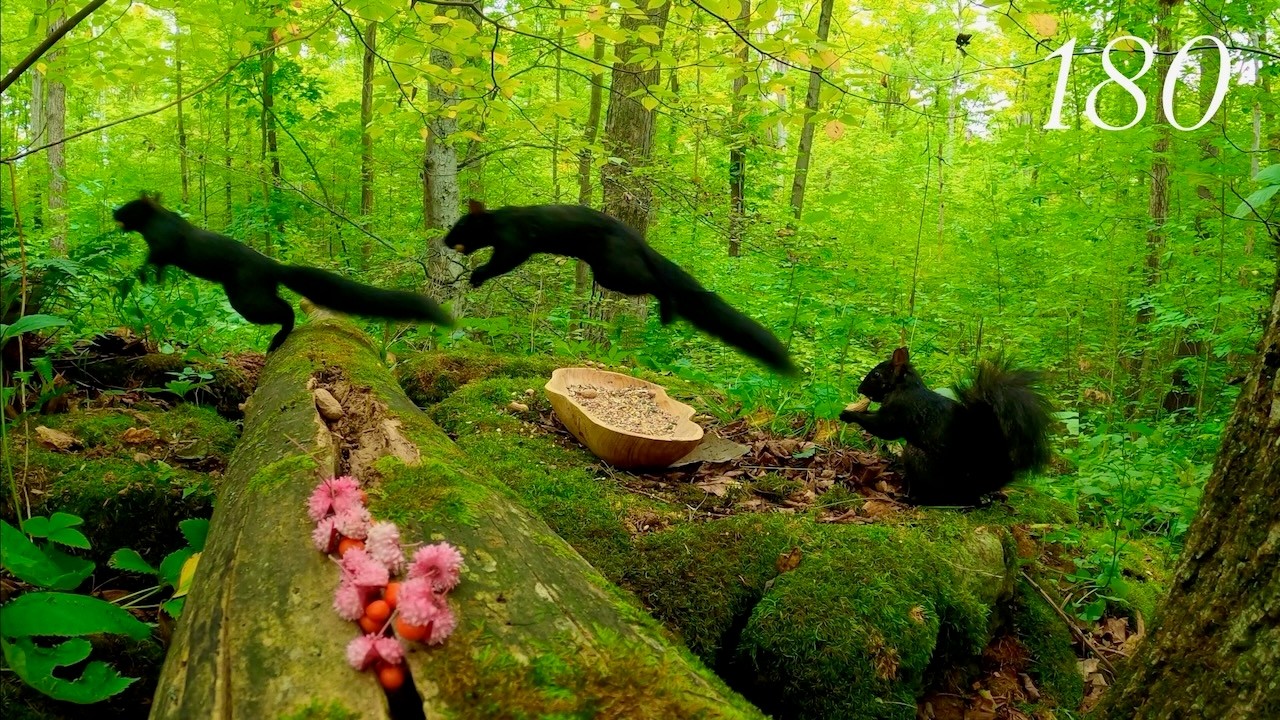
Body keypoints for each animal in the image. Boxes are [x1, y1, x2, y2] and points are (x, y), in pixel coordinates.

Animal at [113, 195, 452, 351]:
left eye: (129, 206)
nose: (114, 211)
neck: (155, 221)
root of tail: (271, 265)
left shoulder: (164, 243)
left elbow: (153, 257)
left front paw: (142, 273)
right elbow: (157, 264)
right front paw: (154, 277)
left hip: (247, 299)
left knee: (286, 310)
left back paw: (277, 340)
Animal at [444, 199, 797, 375]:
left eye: (459, 225)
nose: (445, 240)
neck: (496, 222)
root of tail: (638, 240)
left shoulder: (514, 244)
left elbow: (501, 262)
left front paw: (476, 275)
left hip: (616, 272)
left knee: (659, 284)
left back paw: (668, 311)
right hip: (610, 274)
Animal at [839, 347, 1053, 505]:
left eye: (876, 374)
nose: (859, 389)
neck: (904, 387)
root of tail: (979, 482)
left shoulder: (900, 410)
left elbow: (884, 428)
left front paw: (850, 414)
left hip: (918, 459)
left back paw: (911, 499)